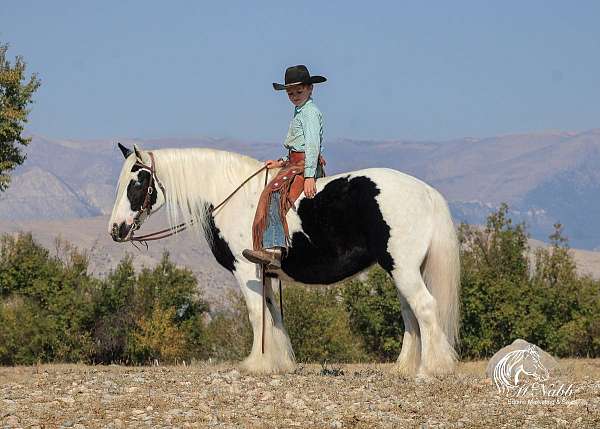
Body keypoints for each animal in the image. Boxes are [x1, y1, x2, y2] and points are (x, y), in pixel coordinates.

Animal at [109, 144, 460, 374]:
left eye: (137, 182)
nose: (115, 229)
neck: (230, 196)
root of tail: (427, 192)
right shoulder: (265, 272)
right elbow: (272, 315)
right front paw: (279, 363)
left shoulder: (245, 269)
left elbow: (256, 315)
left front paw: (256, 365)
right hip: (401, 270)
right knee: (410, 315)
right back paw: (404, 368)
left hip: (403, 269)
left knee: (425, 308)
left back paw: (431, 370)